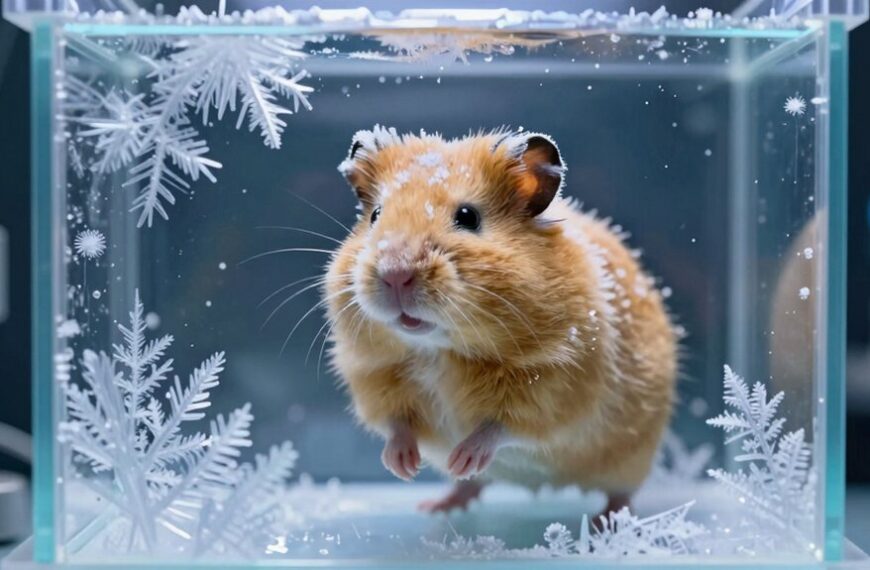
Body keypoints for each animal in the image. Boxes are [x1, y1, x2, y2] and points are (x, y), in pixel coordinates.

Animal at [324, 126, 677, 515]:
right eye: (375, 215)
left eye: (467, 216)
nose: (395, 274)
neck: (436, 349)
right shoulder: (372, 376)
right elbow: (395, 423)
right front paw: (403, 466)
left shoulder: (556, 385)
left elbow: (500, 427)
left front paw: (462, 457)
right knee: (471, 488)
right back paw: (437, 503)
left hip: (631, 460)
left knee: (621, 494)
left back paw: (606, 521)